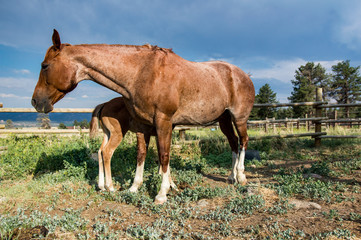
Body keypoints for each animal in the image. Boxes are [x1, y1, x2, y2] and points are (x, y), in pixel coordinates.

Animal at [31, 29, 256, 203]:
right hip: (224, 119)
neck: (142, 72)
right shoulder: (143, 125)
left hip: (239, 118)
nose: (35, 102)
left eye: (44, 65)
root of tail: (243, 75)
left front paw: (162, 194)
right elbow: (142, 154)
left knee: (243, 141)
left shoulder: (163, 122)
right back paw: (231, 176)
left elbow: (164, 155)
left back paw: (241, 176)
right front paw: (134, 187)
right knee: (233, 143)